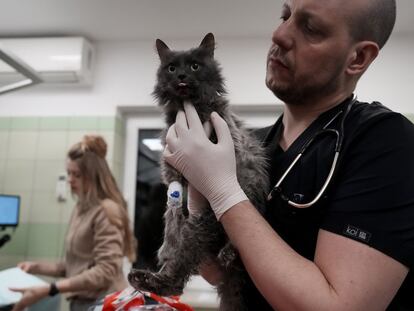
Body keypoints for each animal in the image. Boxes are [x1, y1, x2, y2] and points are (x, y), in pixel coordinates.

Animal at [129, 33, 268, 311]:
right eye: (172, 68)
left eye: (194, 66)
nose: (182, 75)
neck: (188, 109)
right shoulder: (173, 175)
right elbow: (171, 223)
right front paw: (166, 248)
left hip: (206, 220)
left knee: (179, 275)